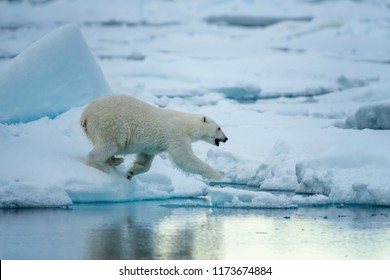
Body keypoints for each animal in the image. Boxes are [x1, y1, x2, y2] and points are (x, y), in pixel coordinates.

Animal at [80, 95, 227, 180]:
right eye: (219, 128)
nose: (226, 138)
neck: (187, 125)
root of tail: (86, 114)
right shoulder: (176, 134)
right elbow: (184, 158)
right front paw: (219, 174)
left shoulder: (152, 146)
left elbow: (145, 160)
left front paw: (131, 172)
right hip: (112, 123)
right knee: (111, 143)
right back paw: (101, 164)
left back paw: (115, 160)